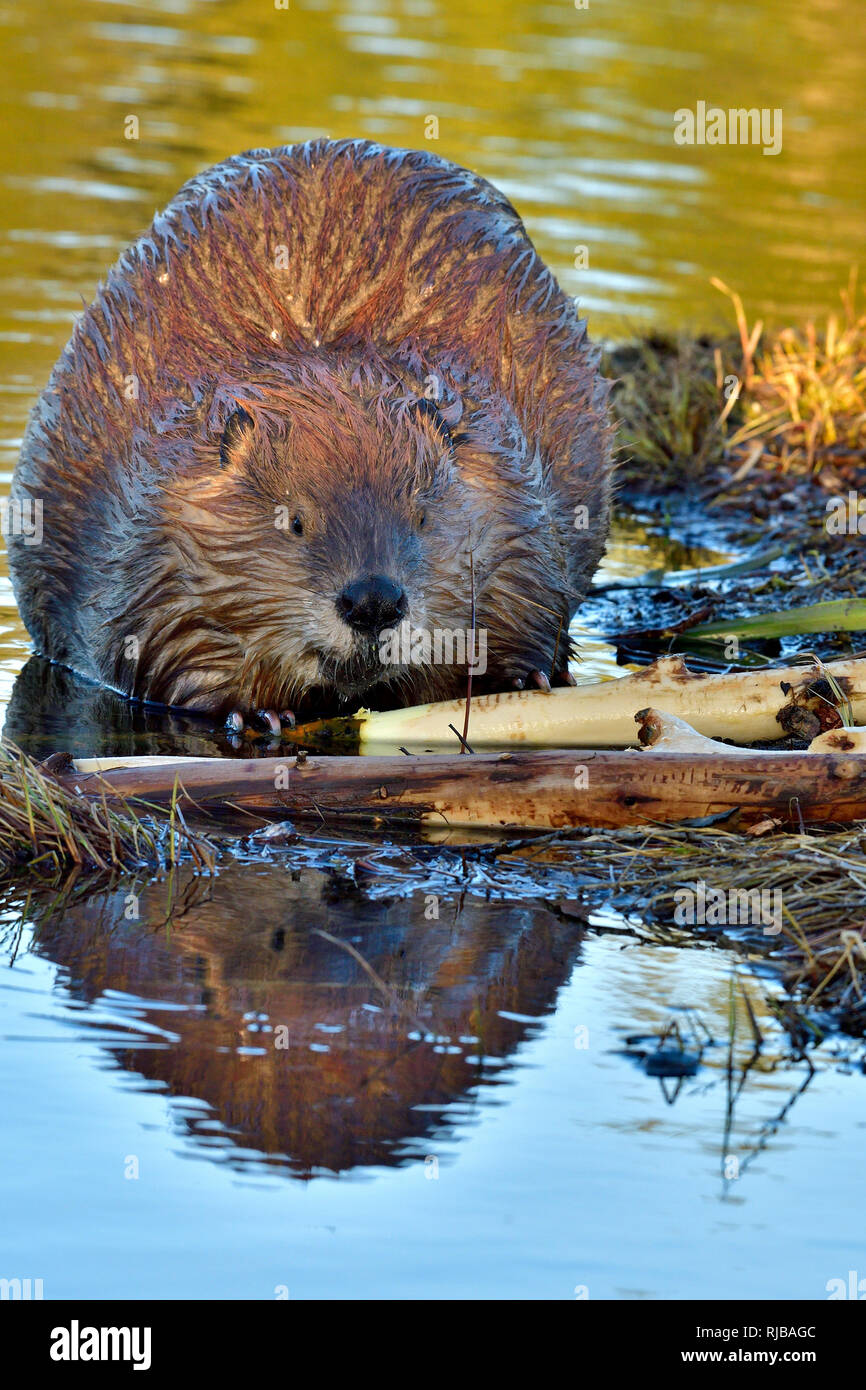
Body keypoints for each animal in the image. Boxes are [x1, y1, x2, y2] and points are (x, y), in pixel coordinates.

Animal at [10, 135, 614, 733]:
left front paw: (523, 677)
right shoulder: (150, 539)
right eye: (294, 523)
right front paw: (257, 711)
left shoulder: (512, 500)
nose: (373, 602)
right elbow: (162, 649)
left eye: (422, 516)